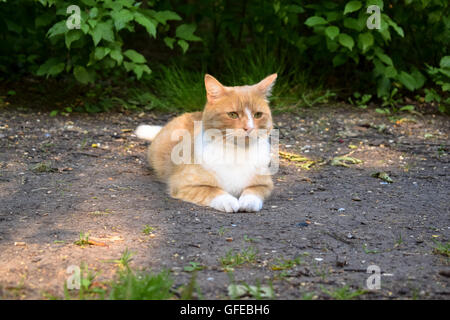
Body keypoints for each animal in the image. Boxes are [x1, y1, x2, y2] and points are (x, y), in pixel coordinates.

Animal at [135, 73, 276, 211]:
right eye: (232, 115)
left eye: (258, 115)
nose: (249, 128)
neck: (236, 152)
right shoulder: (183, 184)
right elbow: (212, 191)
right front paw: (228, 200)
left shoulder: (265, 184)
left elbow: (253, 191)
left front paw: (248, 201)